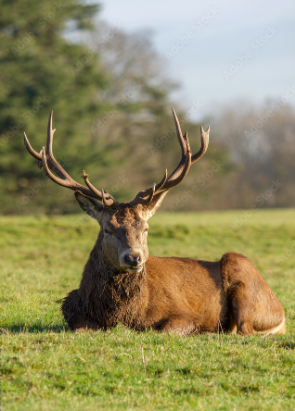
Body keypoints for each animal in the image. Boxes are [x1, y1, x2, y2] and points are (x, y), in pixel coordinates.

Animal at [24, 109, 286, 334]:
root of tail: (281, 311)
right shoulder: (73, 313)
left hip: (243, 276)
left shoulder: (185, 314)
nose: (133, 258)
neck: (123, 315)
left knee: (243, 328)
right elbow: (81, 328)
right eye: (107, 229)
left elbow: (168, 328)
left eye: (146, 228)